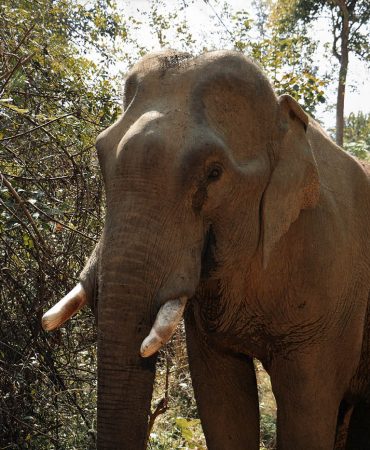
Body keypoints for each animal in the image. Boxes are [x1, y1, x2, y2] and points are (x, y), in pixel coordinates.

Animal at [42, 51, 370, 448]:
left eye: (214, 174)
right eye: (100, 153)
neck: (286, 119)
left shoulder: (331, 277)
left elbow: (308, 407)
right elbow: (221, 402)